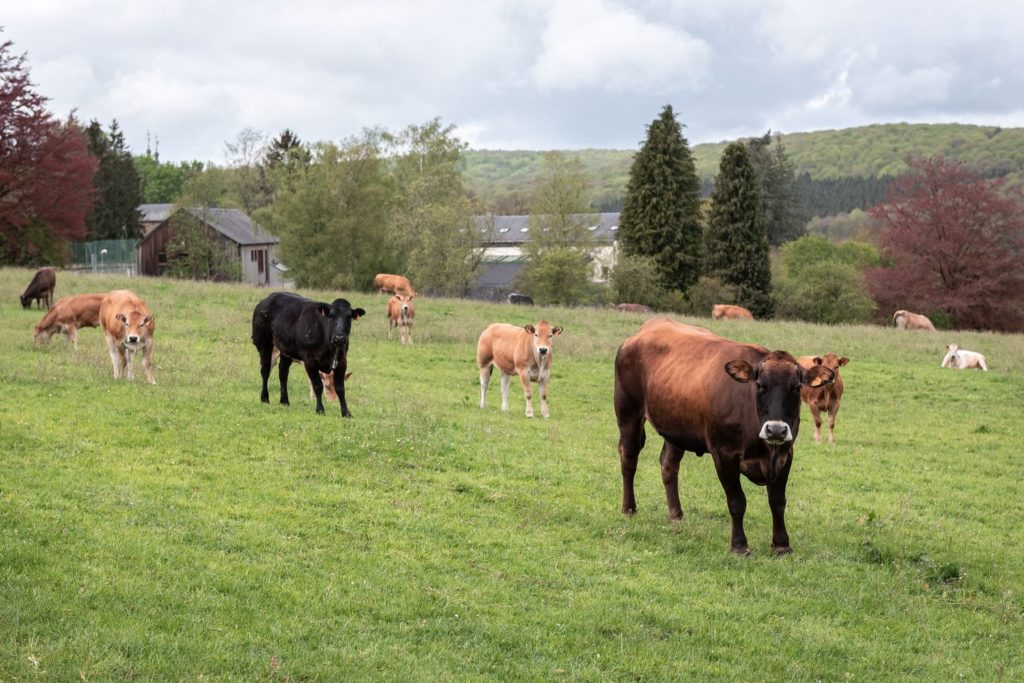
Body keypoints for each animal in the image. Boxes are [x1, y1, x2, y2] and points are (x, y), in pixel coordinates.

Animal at [610, 319, 835, 557]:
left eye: (796, 387)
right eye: (759, 385)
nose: (775, 430)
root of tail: (648, 326)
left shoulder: (785, 454)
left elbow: (777, 501)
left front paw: (781, 545)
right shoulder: (724, 454)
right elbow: (737, 501)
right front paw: (739, 545)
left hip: (675, 425)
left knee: (668, 465)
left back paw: (676, 514)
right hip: (628, 413)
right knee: (629, 459)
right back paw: (629, 508)